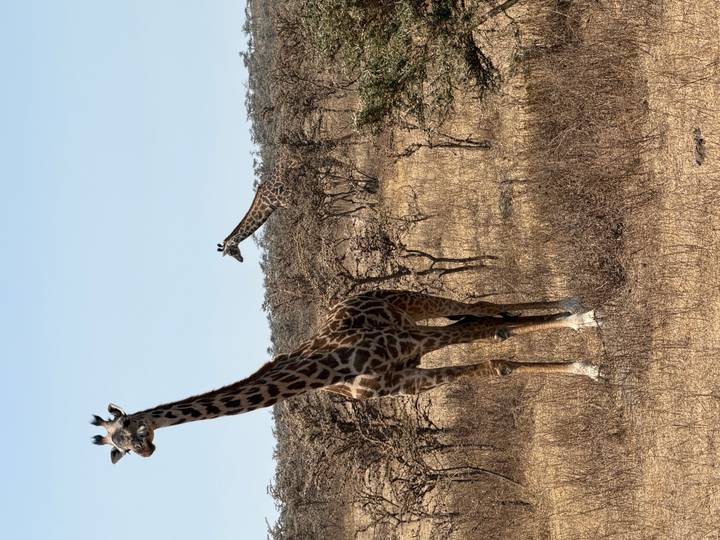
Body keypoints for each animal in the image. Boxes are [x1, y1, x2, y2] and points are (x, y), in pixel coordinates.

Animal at [92, 290, 602, 463]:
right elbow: (496, 356)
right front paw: (584, 357)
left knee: (479, 310)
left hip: (413, 307)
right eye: (118, 447)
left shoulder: (412, 343)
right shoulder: (408, 379)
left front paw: (587, 354)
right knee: (483, 315)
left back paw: (577, 311)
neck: (324, 371)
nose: (145, 452)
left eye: (130, 427)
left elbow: (492, 340)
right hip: (417, 325)